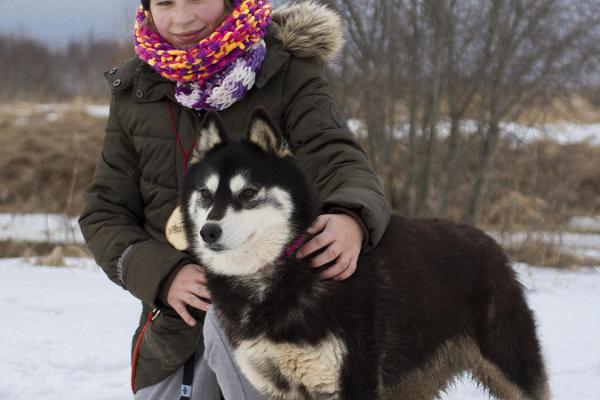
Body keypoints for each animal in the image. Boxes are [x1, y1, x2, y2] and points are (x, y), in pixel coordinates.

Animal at [180, 108, 552, 400]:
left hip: (510, 366)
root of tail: (488, 242)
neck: (285, 270)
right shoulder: (275, 385)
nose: (208, 231)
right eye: (205, 193)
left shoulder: (352, 379)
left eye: (249, 192)